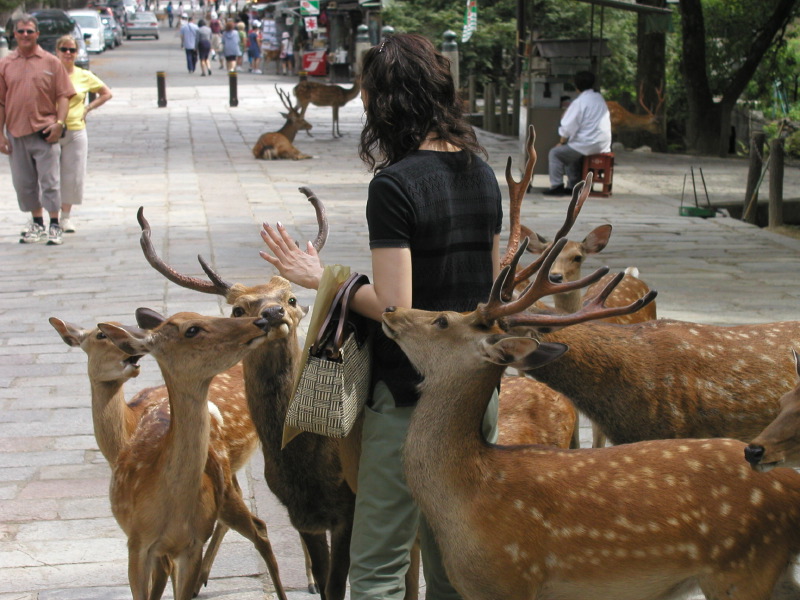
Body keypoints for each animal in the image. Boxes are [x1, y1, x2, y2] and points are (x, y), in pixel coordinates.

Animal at [98, 310, 288, 600]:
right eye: (192, 329)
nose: (261, 321)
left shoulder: (193, 544)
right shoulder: (137, 544)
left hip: (225, 491)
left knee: (260, 530)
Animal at [382, 239, 800, 600]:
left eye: (442, 319)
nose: (390, 310)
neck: (466, 495)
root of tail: (792, 488)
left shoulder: (510, 578)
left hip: (739, 567)